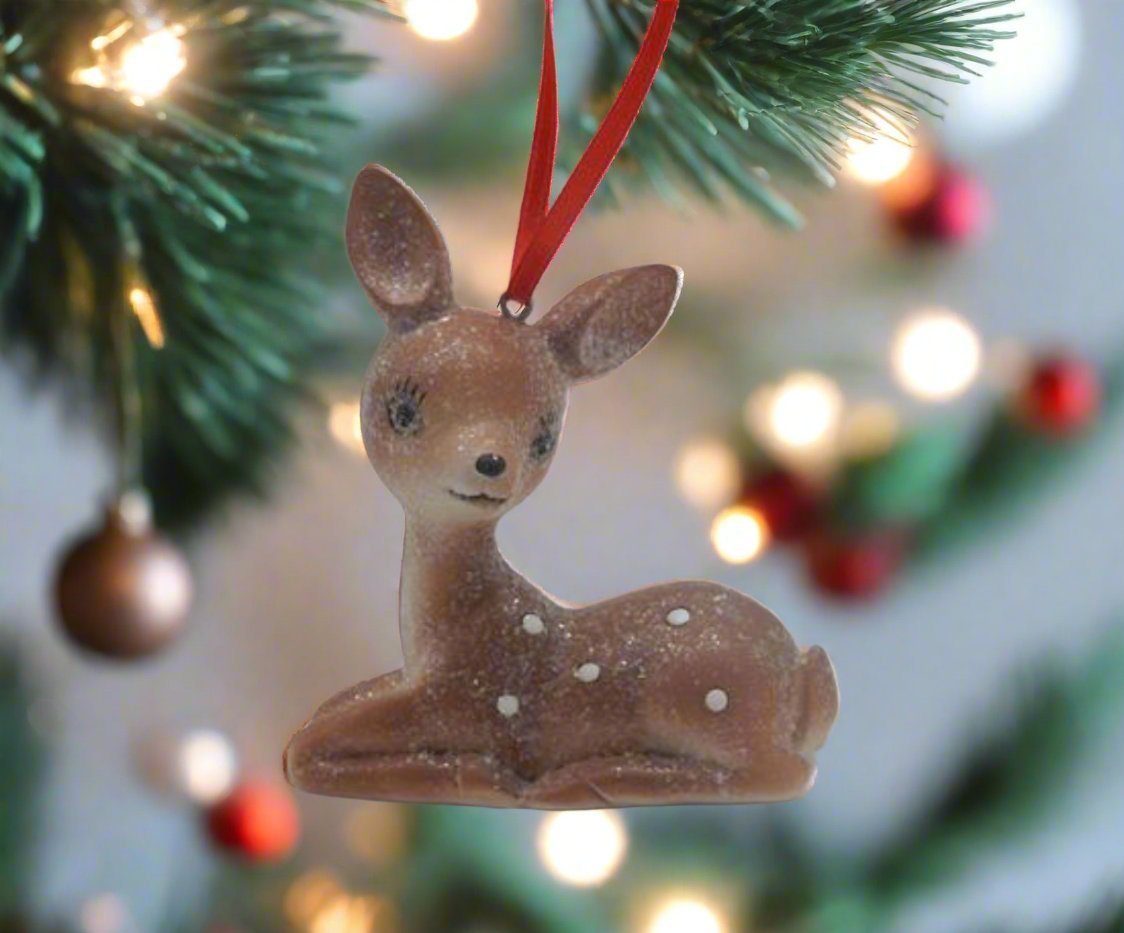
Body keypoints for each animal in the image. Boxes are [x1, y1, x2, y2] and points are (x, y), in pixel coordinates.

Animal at [283, 166, 839, 809]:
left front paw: (475, 776)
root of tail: (797, 673)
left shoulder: (469, 703)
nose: (491, 462)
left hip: (699, 698)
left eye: (545, 438)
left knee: (776, 773)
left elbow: (316, 745)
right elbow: (333, 710)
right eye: (400, 410)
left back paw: (597, 777)